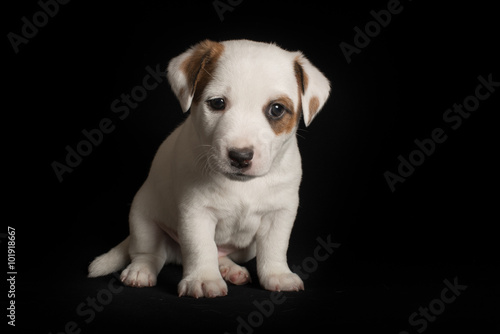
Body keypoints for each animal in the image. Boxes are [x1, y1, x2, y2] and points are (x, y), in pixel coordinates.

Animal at [89, 38, 332, 298]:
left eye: (276, 109)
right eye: (217, 103)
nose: (240, 157)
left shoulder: (280, 212)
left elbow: (275, 245)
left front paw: (277, 274)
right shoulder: (196, 211)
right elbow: (200, 247)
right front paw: (204, 279)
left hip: (246, 248)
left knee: (219, 253)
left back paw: (229, 269)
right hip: (142, 218)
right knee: (150, 252)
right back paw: (141, 270)